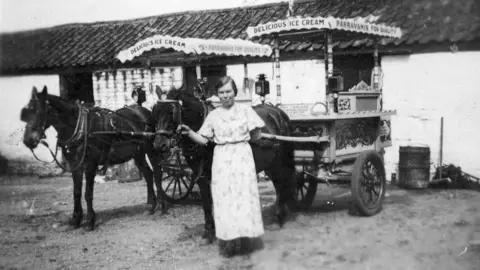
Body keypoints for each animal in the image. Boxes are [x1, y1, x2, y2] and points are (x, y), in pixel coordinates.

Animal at [21, 86, 167, 230]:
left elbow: (87, 193)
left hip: (152, 149)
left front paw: (90, 221)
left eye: (40, 112)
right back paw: (150, 206)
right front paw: (76, 220)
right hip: (137, 153)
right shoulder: (75, 164)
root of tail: (143, 110)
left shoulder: (90, 164)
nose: (28, 141)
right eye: (26, 113)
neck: (79, 127)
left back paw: (161, 206)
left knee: (157, 174)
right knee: (148, 174)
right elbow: (76, 192)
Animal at [152, 89, 298, 244]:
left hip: (279, 161)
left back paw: (279, 218)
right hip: (270, 163)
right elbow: (207, 202)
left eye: (171, 112)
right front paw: (210, 231)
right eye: (155, 112)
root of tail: (277, 112)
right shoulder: (201, 175)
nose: (158, 145)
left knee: (281, 183)